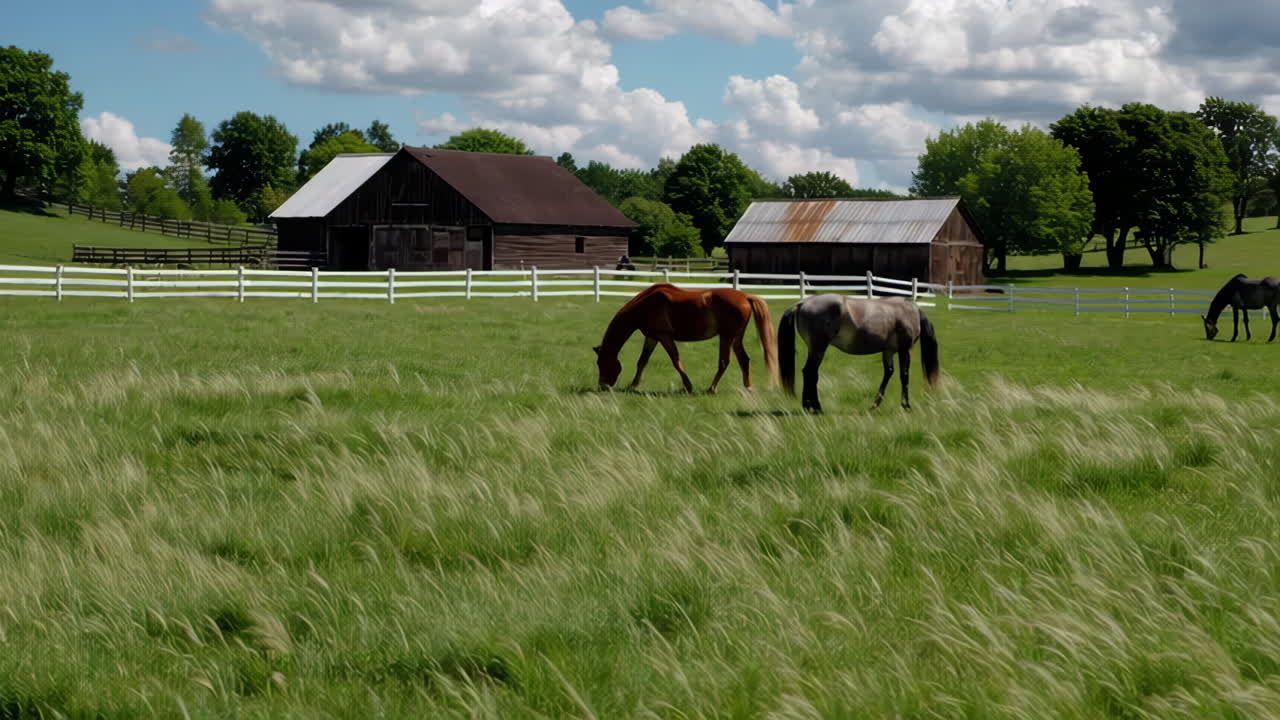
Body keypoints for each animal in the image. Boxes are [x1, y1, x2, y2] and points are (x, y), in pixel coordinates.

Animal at [593, 284, 779, 393]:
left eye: (602, 363)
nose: (602, 386)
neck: (645, 305)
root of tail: (745, 296)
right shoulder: (652, 338)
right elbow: (642, 361)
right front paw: (633, 385)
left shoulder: (664, 337)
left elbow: (676, 361)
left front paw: (688, 386)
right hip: (736, 339)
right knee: (744, 360)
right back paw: (748, 388)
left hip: (727, 337)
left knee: (724, 362)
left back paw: (712, 388)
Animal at [778, 295, 940, 413]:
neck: (907, 311)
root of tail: (802, 303)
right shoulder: (904, 350)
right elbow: (904, 376)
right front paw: (906, 406)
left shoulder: (888, 351)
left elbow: (888, 373)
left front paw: (875, 405)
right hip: (818, 349)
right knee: (810, 373)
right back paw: (814, 407)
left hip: (815, 349)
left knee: (810, 373)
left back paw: (810, 406)